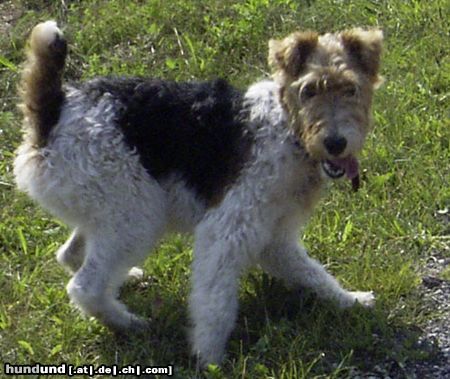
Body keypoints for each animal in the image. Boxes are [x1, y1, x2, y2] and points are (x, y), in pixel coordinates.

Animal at [14, 21, 384, 368]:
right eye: (308, 90)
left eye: (351, 88)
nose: (335, 143)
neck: (288, 130)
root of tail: (52, 113)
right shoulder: (226, 231)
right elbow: (215, 301)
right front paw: (211, 358)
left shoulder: (274, 237)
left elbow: (313, 273)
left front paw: (350, 300)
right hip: (137, 215)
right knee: (83, 286)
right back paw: (130, 323)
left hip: (115, 212)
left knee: (71, 255)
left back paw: (126, 284)